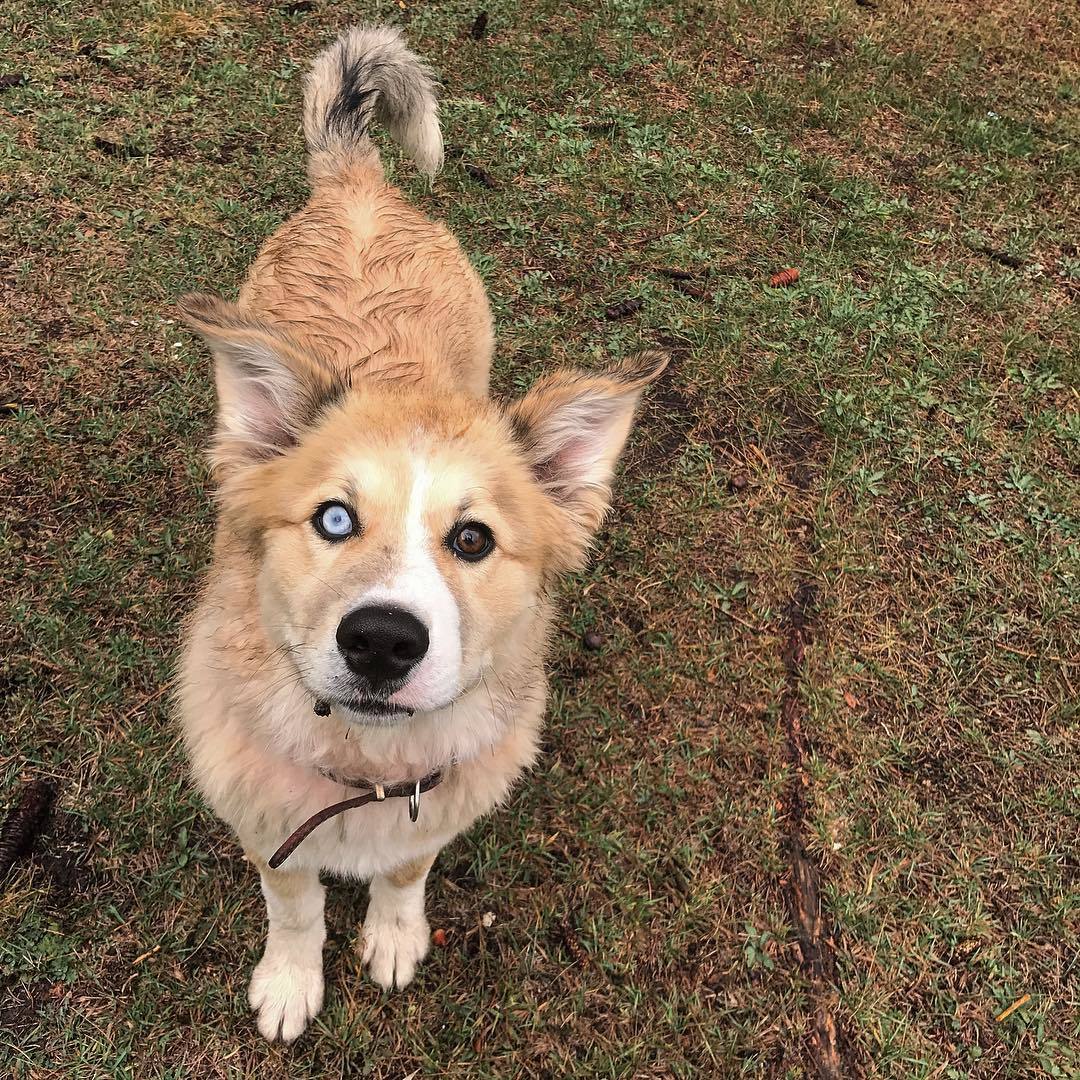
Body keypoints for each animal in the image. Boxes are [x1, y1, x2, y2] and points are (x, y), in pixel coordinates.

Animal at [177, 23, 665, 1036]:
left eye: (472, 539)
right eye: (334, 518)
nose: (380, 642)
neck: (365, 768)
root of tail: (360, 186)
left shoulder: (429, 810)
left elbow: (404, 873)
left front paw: (395, 937)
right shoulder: (269, 824)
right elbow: (293, 903)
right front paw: (292, 979)